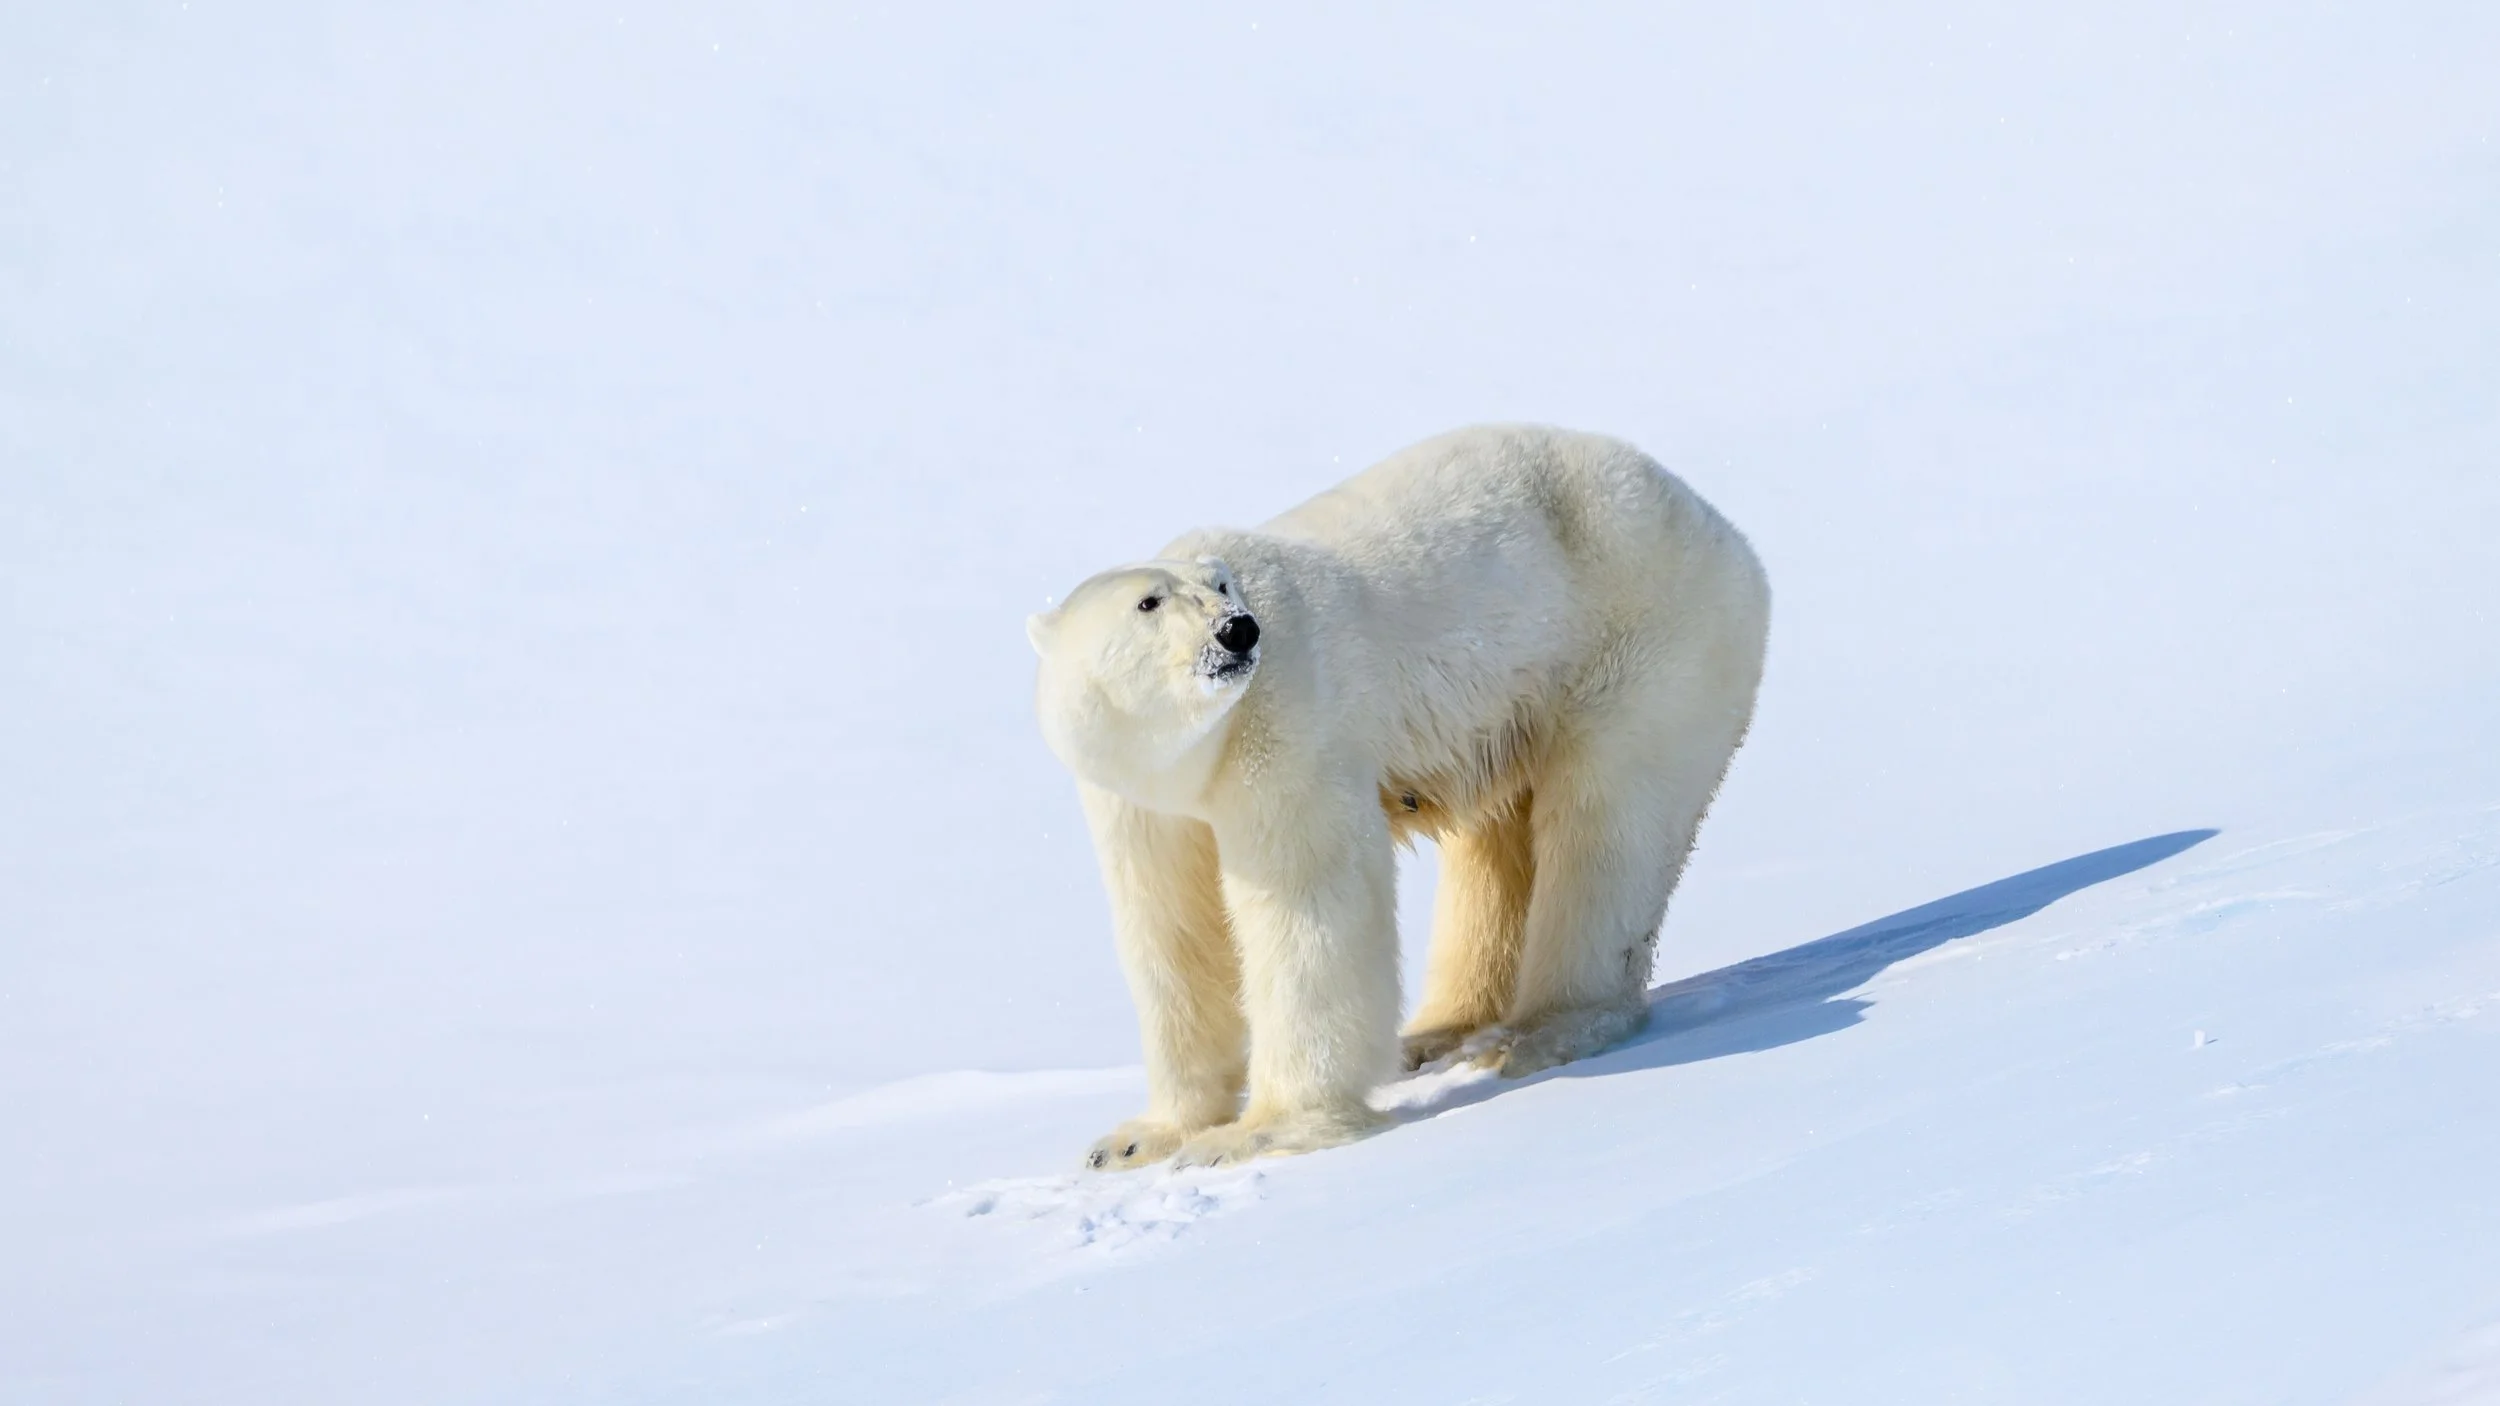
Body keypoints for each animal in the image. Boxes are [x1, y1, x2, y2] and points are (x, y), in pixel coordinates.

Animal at [1027, 424, 1770, 1169]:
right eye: (1148, 603)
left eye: (1222, 585)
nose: (1236, 629)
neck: (1198, 753)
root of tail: (1725, 531)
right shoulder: (1139, 802)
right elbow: (1172, 931)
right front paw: (1136, 1141)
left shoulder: (1289, 718)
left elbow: (1307, 901)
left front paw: (1258, 1133)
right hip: (1519, 714)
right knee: (1497, 853)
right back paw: (1442, 1031)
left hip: (1638, 647)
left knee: (1607, 829)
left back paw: (1542, 1032)